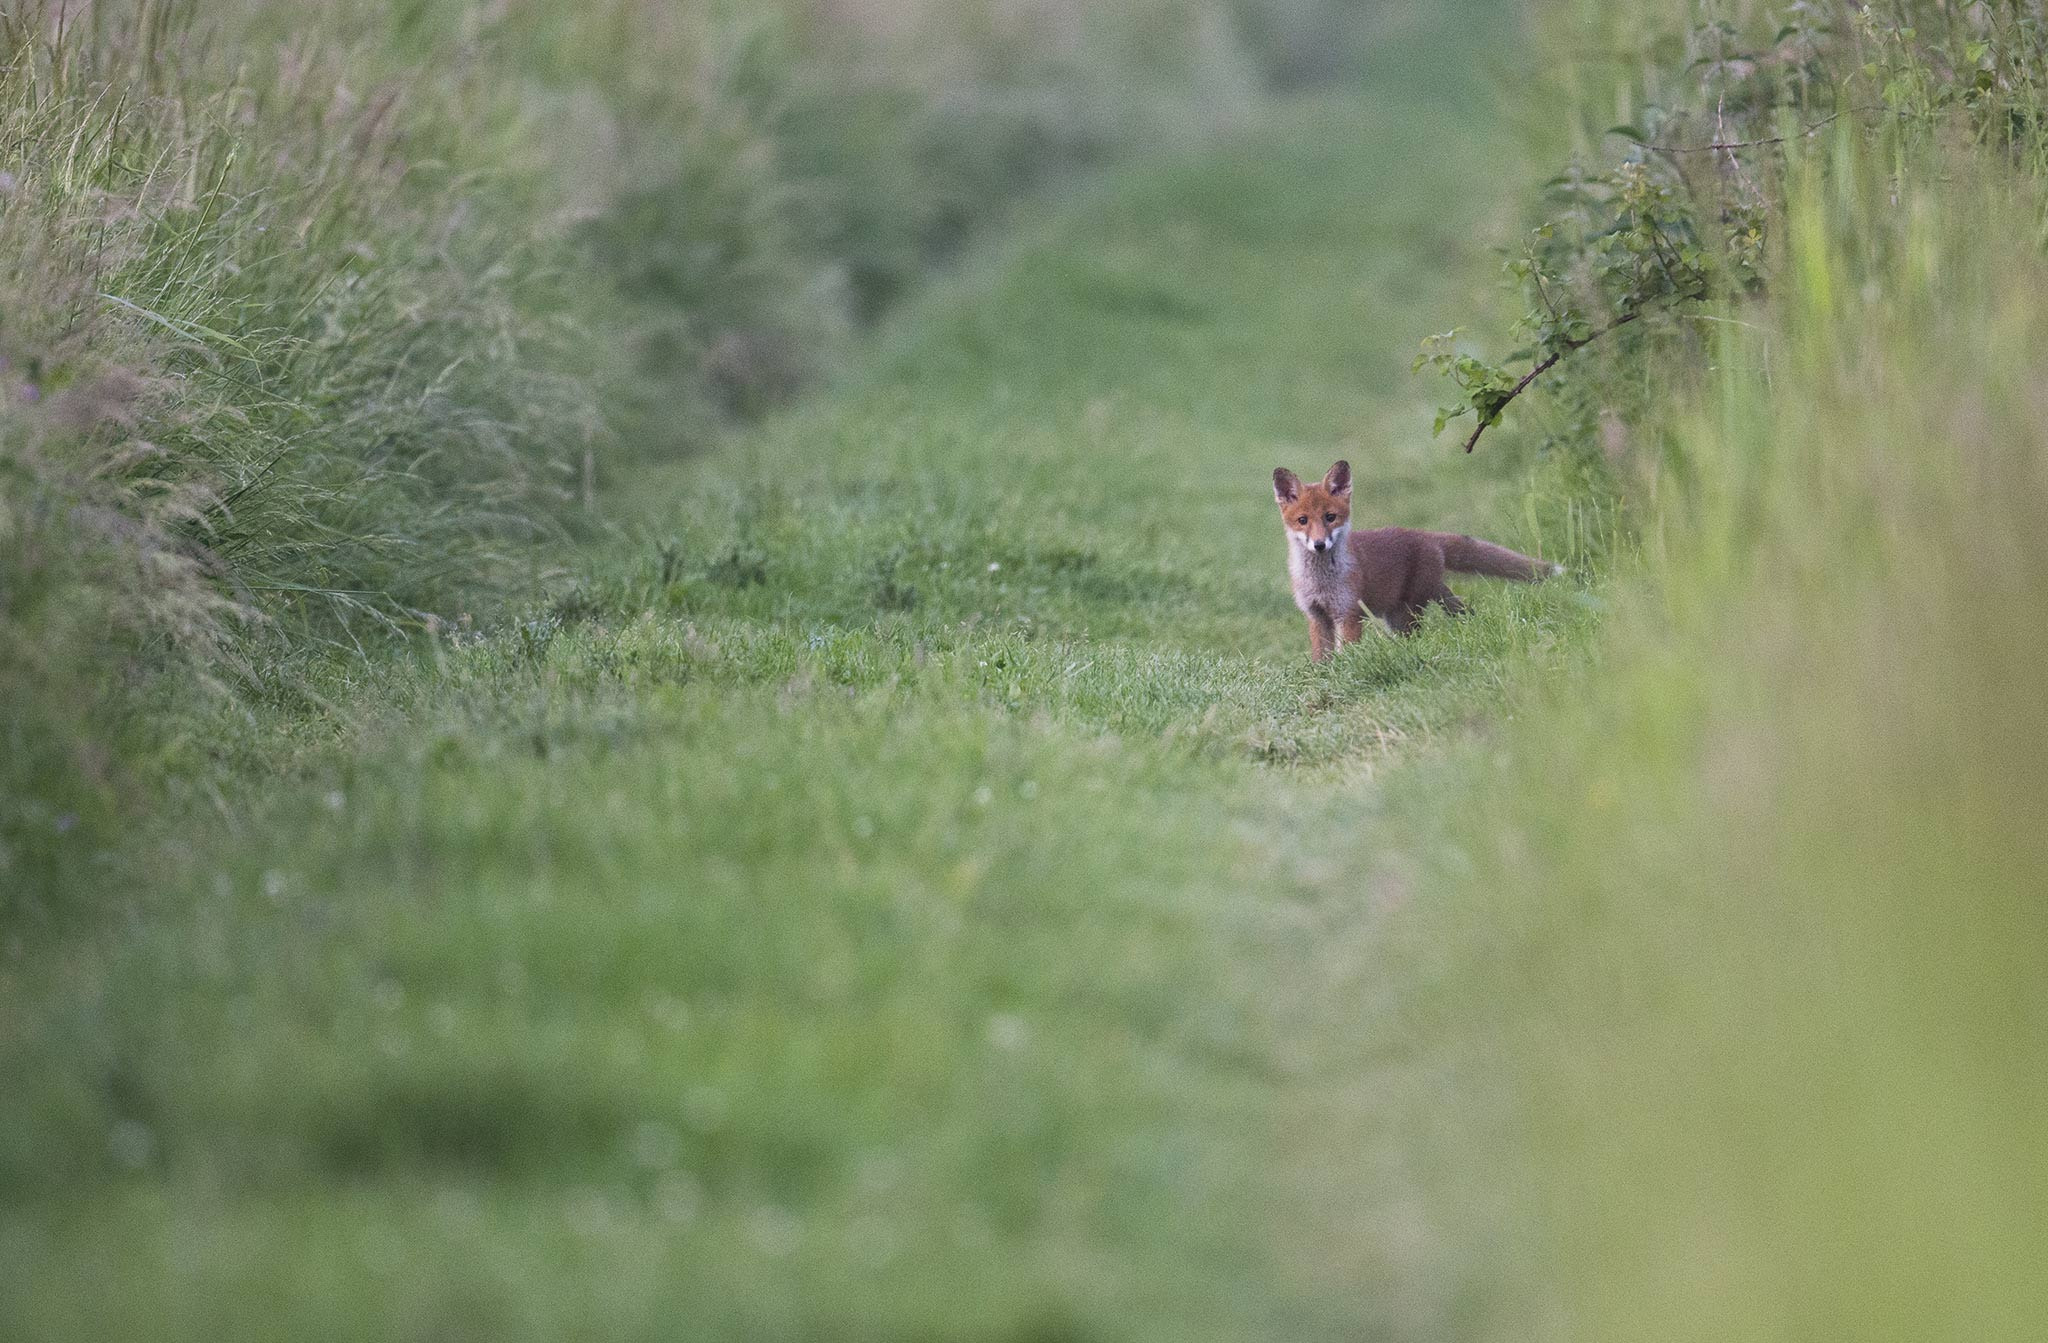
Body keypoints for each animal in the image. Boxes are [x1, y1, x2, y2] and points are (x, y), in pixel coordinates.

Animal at [1269, 458, 1556, 659]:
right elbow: (1321, 659)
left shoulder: (1348, 613)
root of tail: (1423, 534)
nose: (1319, 545)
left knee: (1417, 634)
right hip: (1422, 601)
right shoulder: (1317, 616)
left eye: (1330, 517)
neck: (1320, 582)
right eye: (1303, 520)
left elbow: (1346, 654)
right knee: (1462, 609)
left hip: (1405, 614)